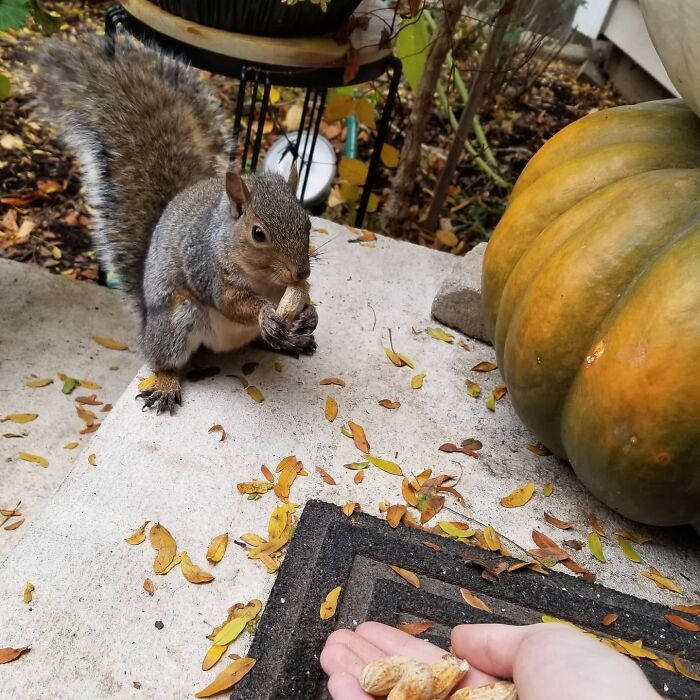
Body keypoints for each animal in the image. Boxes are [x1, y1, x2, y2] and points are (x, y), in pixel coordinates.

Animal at [32, 35, 318, 414]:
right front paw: (266, 313)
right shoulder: (209, 270)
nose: (302, 272)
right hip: (177, 319)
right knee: (164, 359)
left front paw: (308, 315)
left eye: (308, 222)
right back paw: (167, 384)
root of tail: (146, 327)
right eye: (258, 233)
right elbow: (231, 302)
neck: (266, 280)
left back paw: (291, 341)